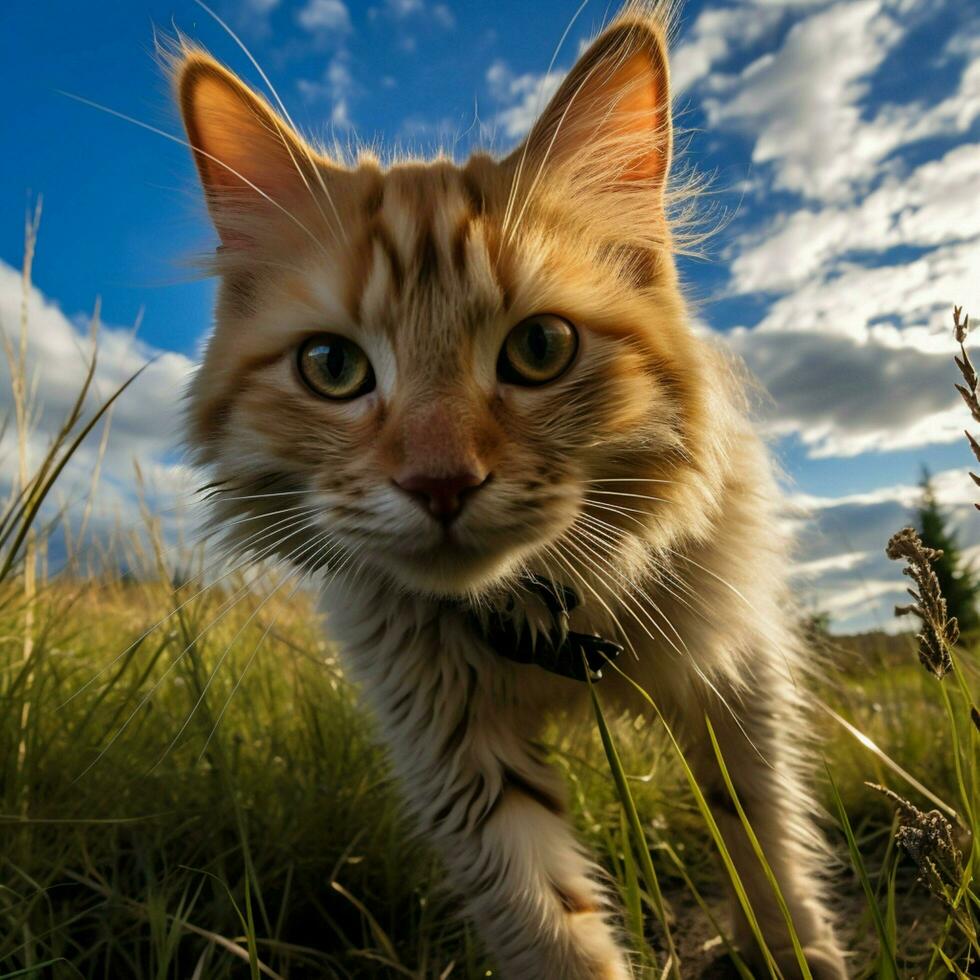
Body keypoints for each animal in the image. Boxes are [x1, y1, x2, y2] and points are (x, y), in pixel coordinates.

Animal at [176, 3, 848, 976]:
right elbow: (549, 922)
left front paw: (795, 951)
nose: (439, 482)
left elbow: (761, 836)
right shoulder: (454, 753)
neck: (547, 615)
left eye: (539, 349)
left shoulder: (735, 671)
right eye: (332, 367)